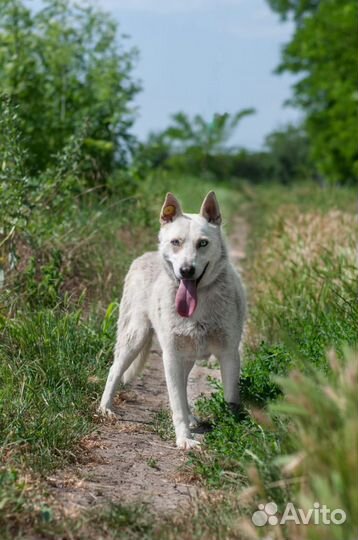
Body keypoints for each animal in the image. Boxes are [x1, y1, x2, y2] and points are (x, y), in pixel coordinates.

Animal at [100, 192, 246, 450]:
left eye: (203, 243)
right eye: (176, 242)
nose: (186, 271)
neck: (199, 306)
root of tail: (143, 256)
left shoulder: (229, 354)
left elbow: (230, 398)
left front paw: (232, 427)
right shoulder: (171, 356)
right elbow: (176, 401)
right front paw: (184, 439)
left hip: (185, 357)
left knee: (184, 387)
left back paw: (191, 418)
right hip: (135, 338)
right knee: (114, 370)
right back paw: (105, 408)